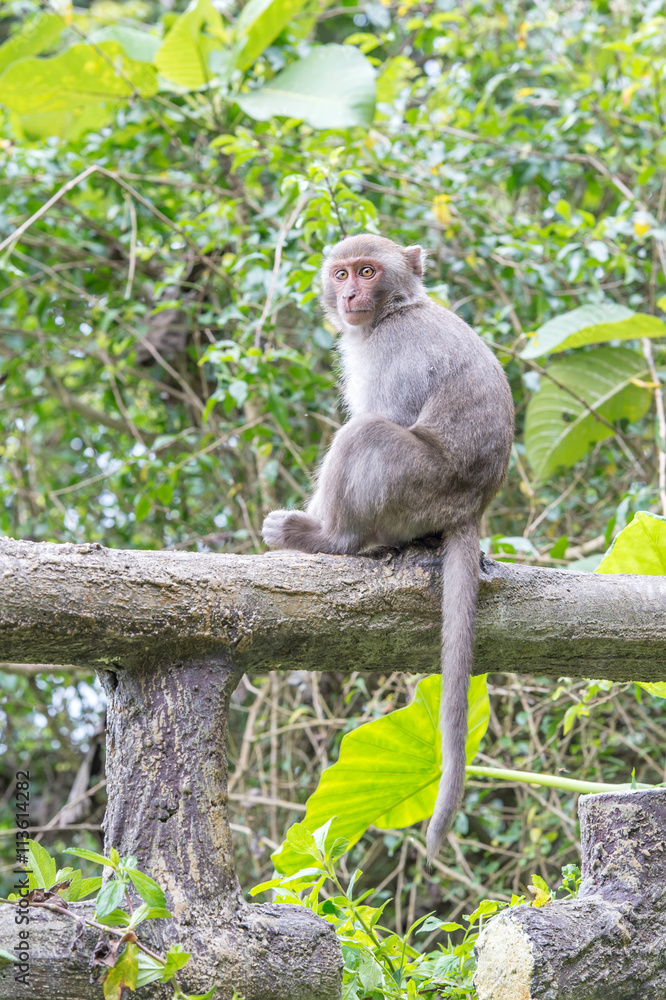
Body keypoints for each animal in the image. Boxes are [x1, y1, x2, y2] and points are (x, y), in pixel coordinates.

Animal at [262, 234, 510, 860]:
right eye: (342, 273)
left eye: (368, 272)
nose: (351, 294)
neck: (395, 310)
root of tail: (469, 508)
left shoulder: (390, 352)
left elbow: (381, 416)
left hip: (416, 487)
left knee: (366, 435)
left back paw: (328, 539)